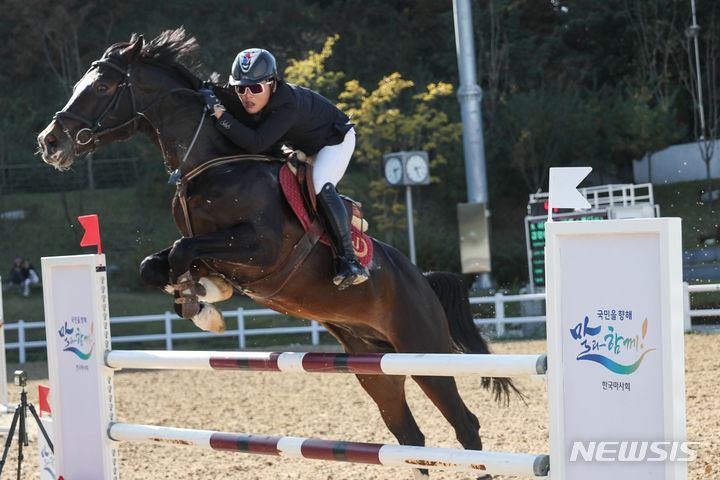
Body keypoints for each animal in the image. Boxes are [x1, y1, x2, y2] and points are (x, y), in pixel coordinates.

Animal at [36, 27, 520, 480]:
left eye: (101, 87)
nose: (49, 142)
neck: (210, 164)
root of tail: (424, 281)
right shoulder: (215, 249)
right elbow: (156, 265)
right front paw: (202, 298)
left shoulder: (262, 249)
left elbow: (181, 253)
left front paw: (203, 301)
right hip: (374, 366)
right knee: (408, 437)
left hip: (423, 352)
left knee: (465, 425)